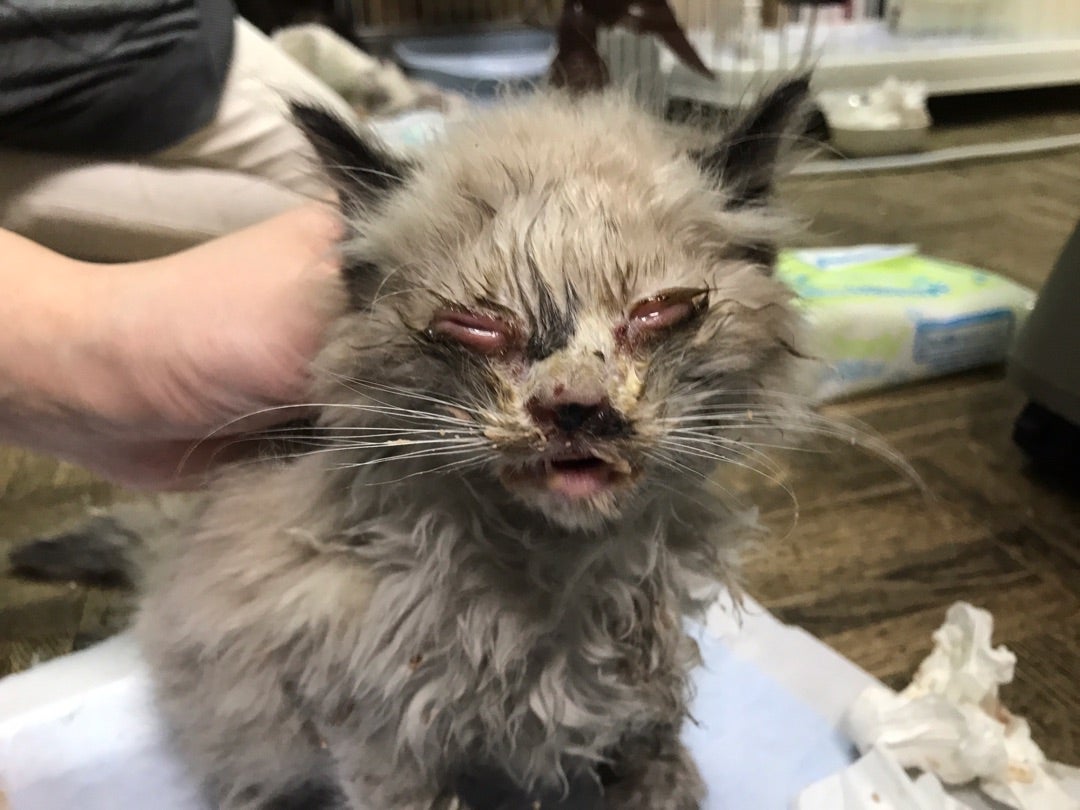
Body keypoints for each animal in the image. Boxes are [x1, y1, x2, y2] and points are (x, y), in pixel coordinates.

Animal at [15, 78, 814, 809]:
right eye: (476, 328)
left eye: (658, 315)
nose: (574, 407)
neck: (552, 580)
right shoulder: (377, 725)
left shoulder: (643, 687)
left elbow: (656, 758)